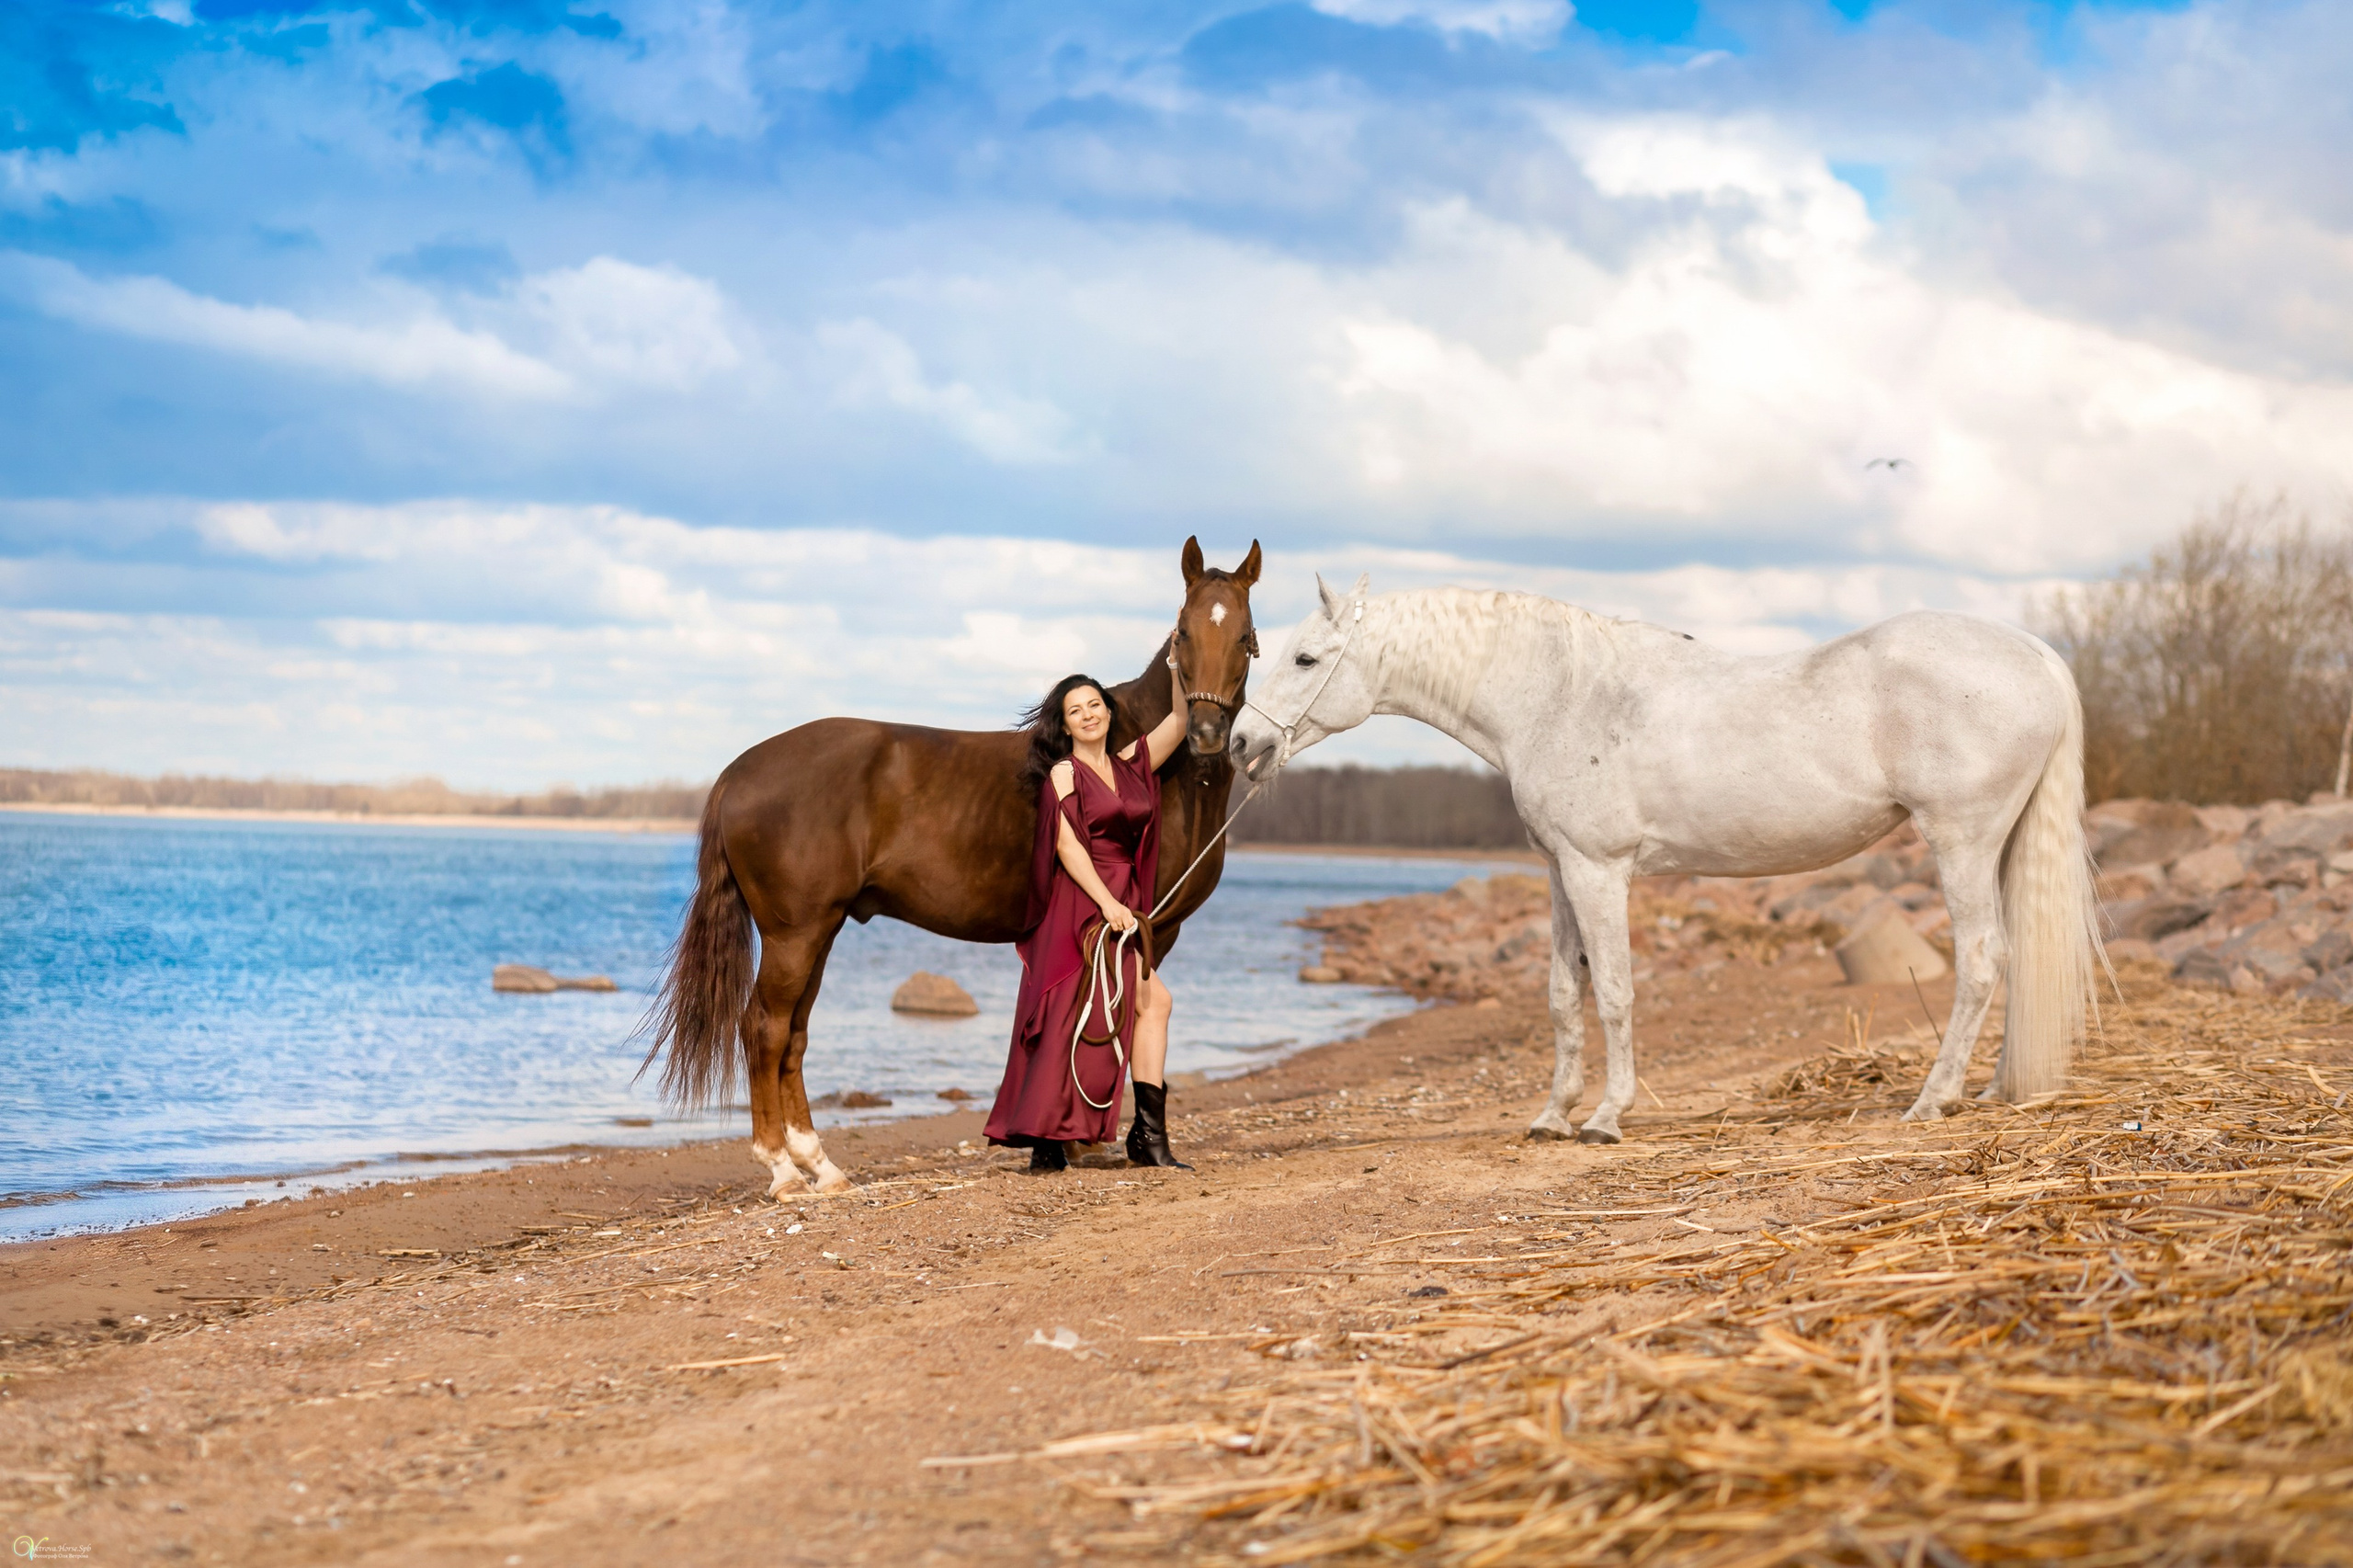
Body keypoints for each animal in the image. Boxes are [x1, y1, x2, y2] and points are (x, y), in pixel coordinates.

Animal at [641, 538, 1263, 1197]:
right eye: (1182, 631)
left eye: (1244, 633)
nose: (1204, 733)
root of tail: (738, 771)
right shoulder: (1146, 928)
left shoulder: (1151, 931)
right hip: (794, 933)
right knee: (764, 1027)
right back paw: (783, 1170)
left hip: (817, 931)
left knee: (794, 1033)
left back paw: (820, 1165)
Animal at [1231, 576, 2106, 1144]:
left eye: (1306, 659)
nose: (1242, 743)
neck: (1559, 695)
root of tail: (2034, 654)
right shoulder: (1560, 873)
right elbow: (1562, 996)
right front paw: (1551, 1116)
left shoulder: (1599, 872)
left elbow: (1614, 993)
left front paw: (1605, 1118)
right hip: (1997, 846)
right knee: (2013, 957)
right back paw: (1993, 1087)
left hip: (1962, 841)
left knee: (1982, 960)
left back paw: (1933, 1099)